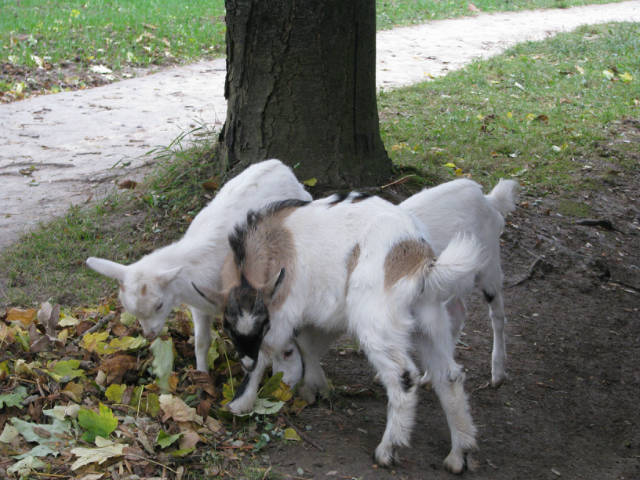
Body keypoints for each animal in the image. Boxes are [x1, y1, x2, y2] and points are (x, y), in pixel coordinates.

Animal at [86, 158, 312, 372]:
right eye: (130, 310)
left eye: (159, 305)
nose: (150, 334)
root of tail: (278, 164)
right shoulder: (199, 306)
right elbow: (202, 343)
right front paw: (202, 373)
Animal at [196, 193, 484, 470]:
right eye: (227, 326)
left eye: (262, 323)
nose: (244, 361)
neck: (269, 243)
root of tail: (418, 257)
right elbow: (306, 346)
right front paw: (313, 387)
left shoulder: (283, 310)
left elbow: (269, 350)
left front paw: (239, 404)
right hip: (430, 320)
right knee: (449, 376)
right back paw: (459, 454)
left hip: (376, 321)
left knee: (403, 376)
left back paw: (388, 450)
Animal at [272, 178, 516, 392]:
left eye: (286, 352)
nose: (282, 383)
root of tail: (489, 199)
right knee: (457, 313)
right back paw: (431, 375)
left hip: (489, 265)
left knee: (497, 314)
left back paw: (497, 375)